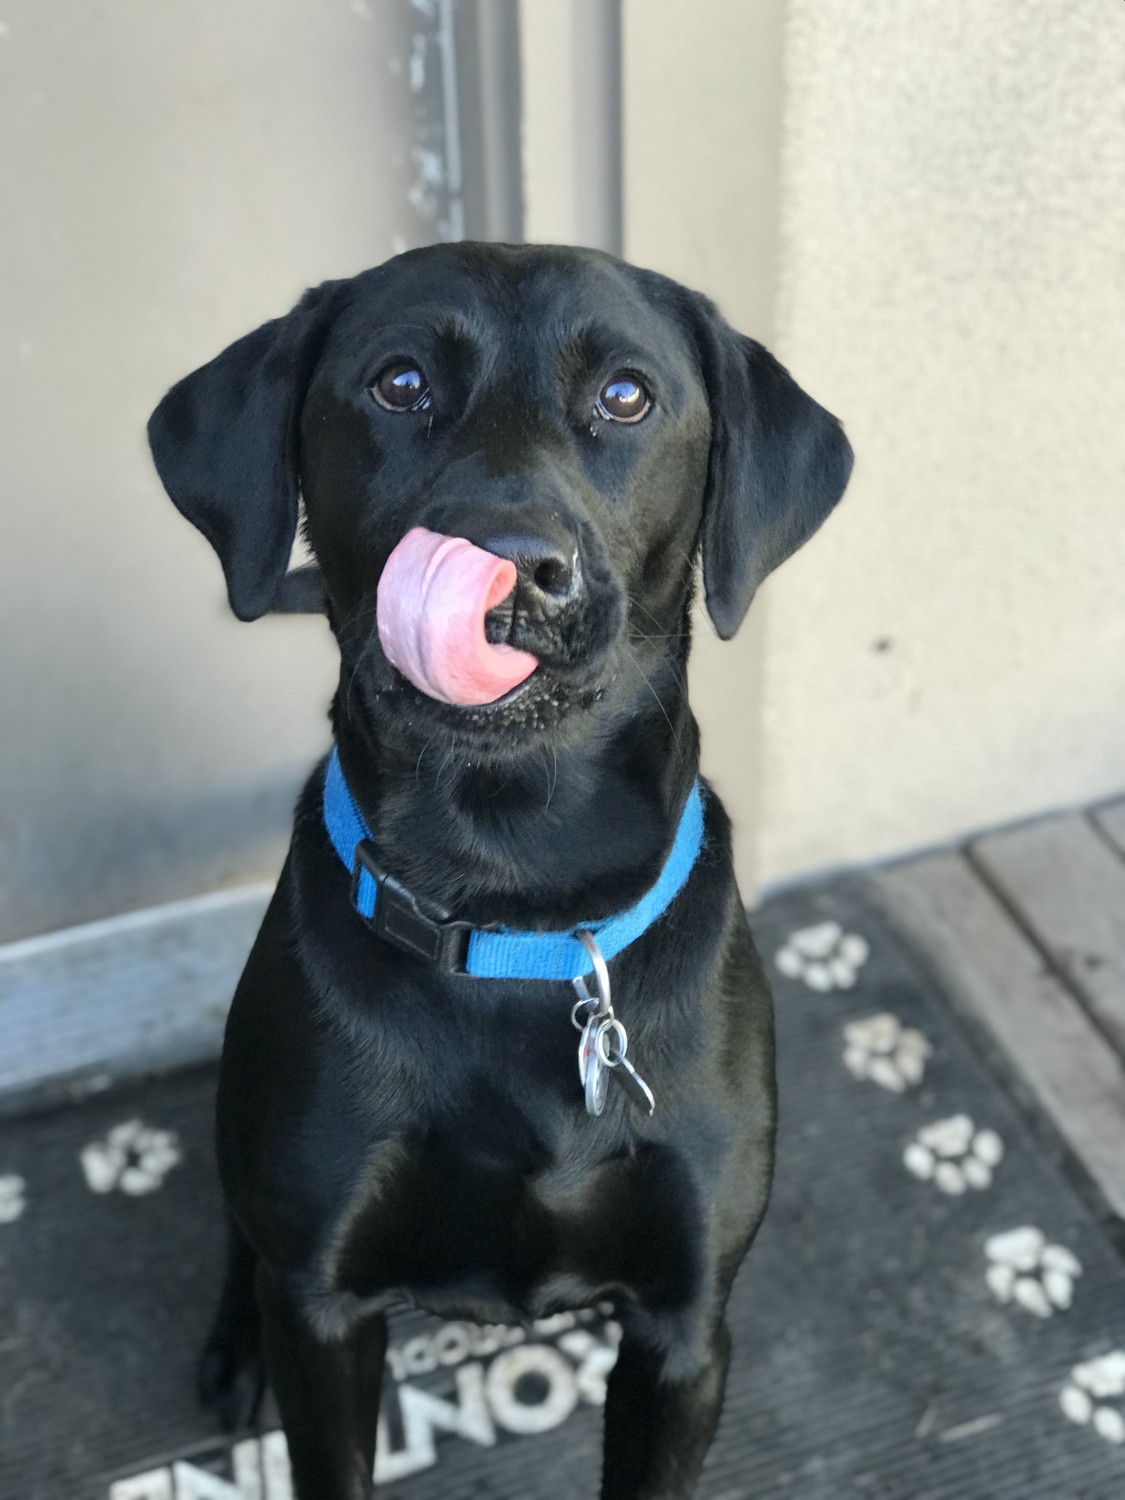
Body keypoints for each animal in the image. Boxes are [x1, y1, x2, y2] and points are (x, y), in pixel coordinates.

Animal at [150, 240, 852, 1494]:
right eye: (399, 384)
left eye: (626, 395)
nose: (513, 567)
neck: (512, 895)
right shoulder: (325, 1316)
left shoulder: (684, 1328)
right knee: (240, 1240)